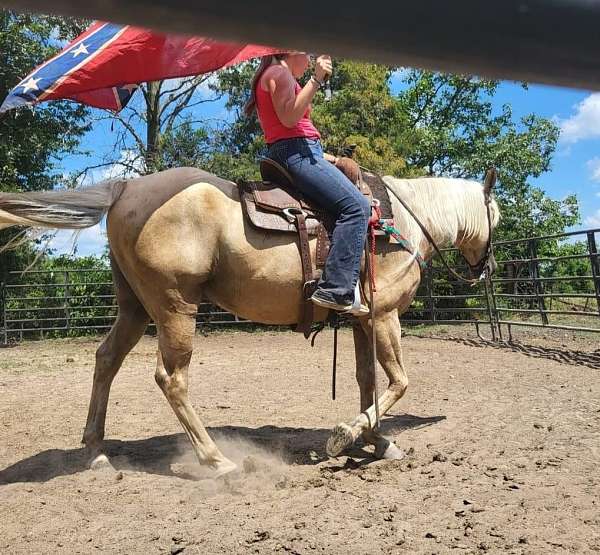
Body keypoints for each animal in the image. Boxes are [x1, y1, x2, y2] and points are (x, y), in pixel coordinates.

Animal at [0, 164, 500, 478]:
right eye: (496, 213)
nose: (487, 268)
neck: (403, 222)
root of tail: (125, 188)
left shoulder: (361, 321)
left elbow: (367, 382)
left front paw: (375, 441)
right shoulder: (383, 317)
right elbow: (398, 382)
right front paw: (345, 436)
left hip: (135, 308)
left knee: (106, 360)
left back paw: (97, 454)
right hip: (175, 306)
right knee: (171, 378)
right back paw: (216, 460)